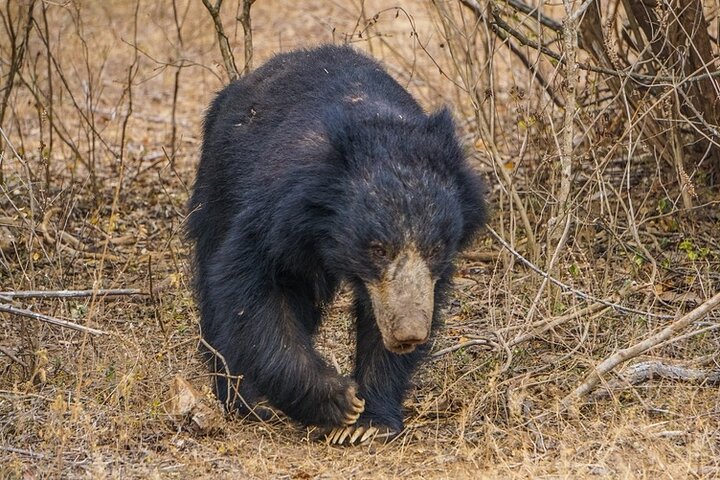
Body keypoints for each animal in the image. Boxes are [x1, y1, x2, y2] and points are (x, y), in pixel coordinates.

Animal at [187, 44, 486, 446]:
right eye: (378, 249)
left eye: (436, 249)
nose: (408, 334)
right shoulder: (276, 217)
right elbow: (254, 295)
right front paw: (340, 401)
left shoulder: (409, 284)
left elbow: (384, 318)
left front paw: (368, 422)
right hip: (217, 187)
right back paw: (247, 399)